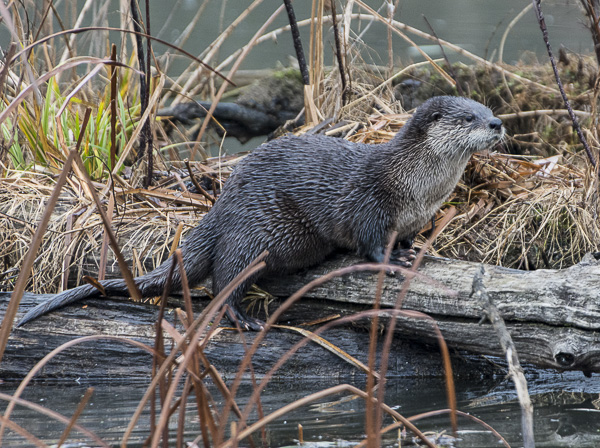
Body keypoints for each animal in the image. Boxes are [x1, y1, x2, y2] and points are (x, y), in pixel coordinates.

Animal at [16, 96, 504, 330]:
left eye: (489, 110)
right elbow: (370, 242)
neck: (418, 187)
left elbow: (407, 236)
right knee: (222, 280)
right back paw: (241, 318)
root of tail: (222, 205)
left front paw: (417, 249)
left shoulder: (416, 215)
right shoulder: (371, 200)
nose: (497, 125)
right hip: (255, 233)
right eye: (468, 118)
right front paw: (395, 258)